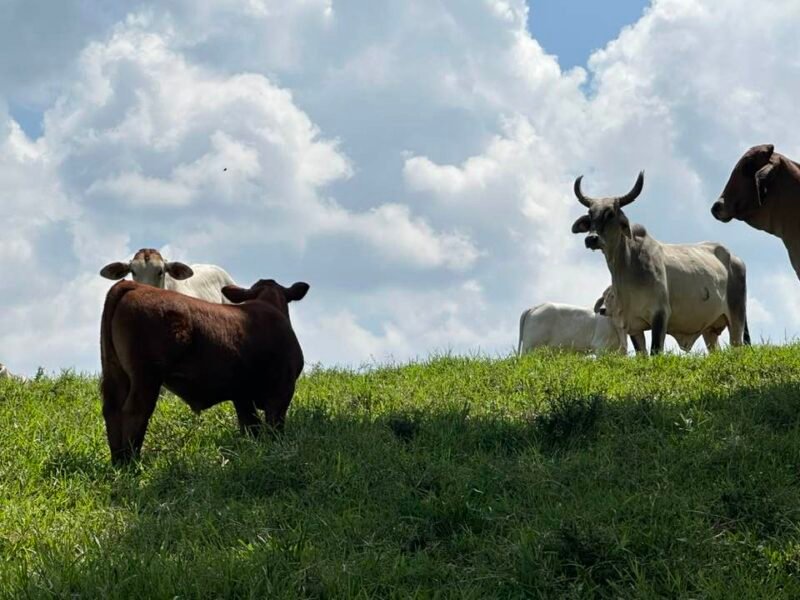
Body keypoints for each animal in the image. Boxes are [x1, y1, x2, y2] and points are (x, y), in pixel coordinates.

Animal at [99, 276, 310, 464]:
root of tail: (134, 285)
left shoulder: (242, 395)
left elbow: (251, 427)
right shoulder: (282, 389)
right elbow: (274, 428)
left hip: (116, 372)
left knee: (112, 410)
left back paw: (119, 462)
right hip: (145, 376)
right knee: (135, 410)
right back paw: (132, 463)